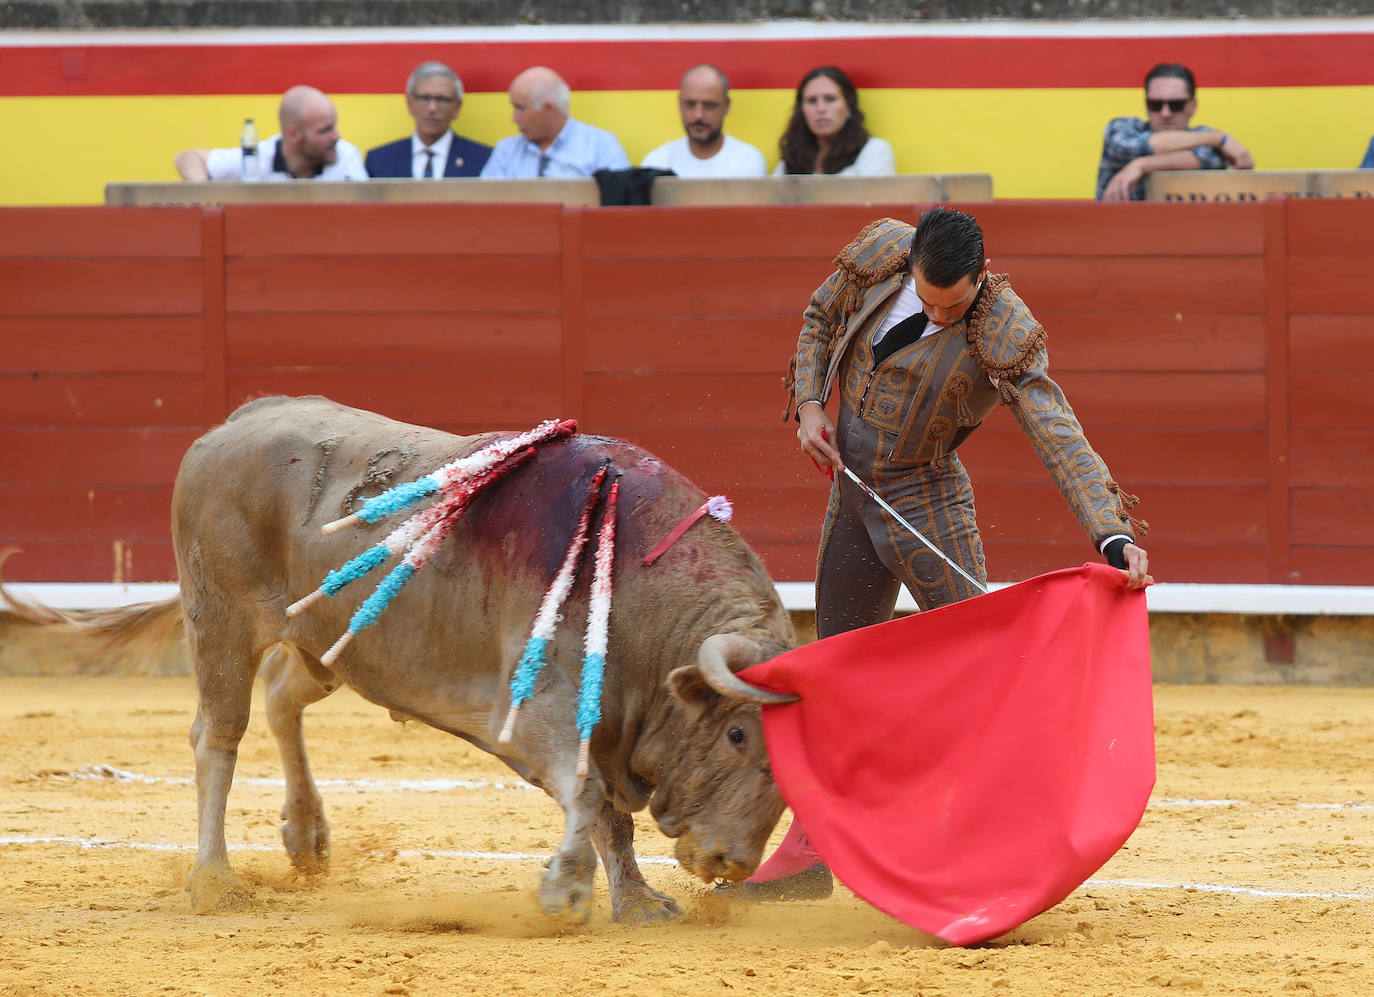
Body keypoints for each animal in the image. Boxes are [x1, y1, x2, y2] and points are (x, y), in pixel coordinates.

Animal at [13, 395, 802, 922]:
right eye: (737, 733)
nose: (734, 862)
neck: (639, 588)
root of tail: (238, 420)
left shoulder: (599, 726)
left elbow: (611, 814)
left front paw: (635, 902)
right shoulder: (538, 710)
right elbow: (591, 797)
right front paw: (566, 892)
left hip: (333, 641)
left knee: (282, 696)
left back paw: (307, 837)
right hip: (221, 620)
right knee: (218, 735)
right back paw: (214, 881)